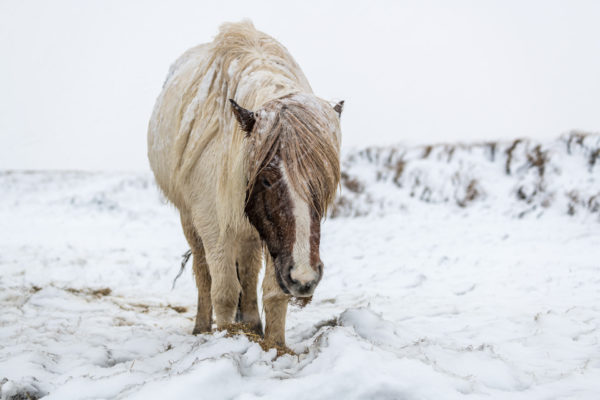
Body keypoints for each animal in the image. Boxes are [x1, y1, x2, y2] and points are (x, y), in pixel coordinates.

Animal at [147, 20, 342, 346]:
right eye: (266, 179)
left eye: (323, 181)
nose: (305, 278)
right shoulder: (214, 225)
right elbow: (224, 291)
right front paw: (226, 339)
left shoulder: (273, 242)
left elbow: (272, 292)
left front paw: (274, 346)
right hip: (192, 222)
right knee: (204, 274)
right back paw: (202, 327)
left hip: (250, 233)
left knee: (248, 274)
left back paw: (251, 324)